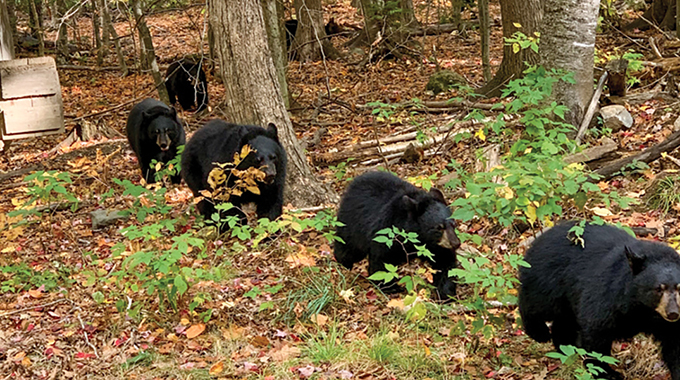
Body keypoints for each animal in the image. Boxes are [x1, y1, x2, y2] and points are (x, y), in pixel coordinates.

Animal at [334, 171, 462, 300]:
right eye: (438, 228)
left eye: (454, 223)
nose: (455, 243)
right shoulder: (386, 233)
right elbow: (382, 261)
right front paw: (390, 287)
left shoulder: (436, 247)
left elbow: (445, 263)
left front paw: (447, 293)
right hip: (352, 224)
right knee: (347, 248)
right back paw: (344, 263)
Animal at [520, 223, 680, 380]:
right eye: (658, 288)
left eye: (679, 287)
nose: (673, 313)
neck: (644, 309)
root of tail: (539, 239)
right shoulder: (608, 295)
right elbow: (596, 333)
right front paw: (607, 372)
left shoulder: (668, 325)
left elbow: (675, 347)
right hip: (550, 281)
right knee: (536, 304)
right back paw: (539, 332)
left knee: (564, 321)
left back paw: (565, 346)